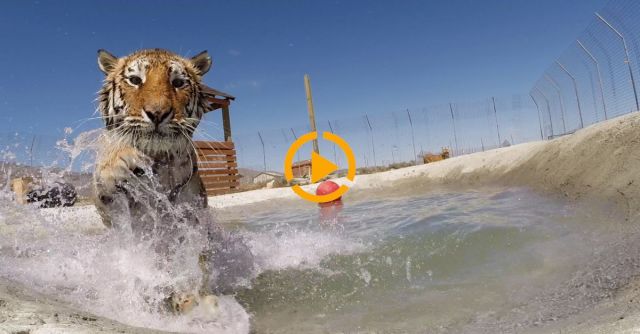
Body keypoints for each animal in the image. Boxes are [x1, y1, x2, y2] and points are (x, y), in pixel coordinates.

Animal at [92, 49, 222, 316]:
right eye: (135, 80)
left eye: (178, 82)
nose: (157, 113)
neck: (158, 161)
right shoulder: (113, 210)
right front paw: (118, 160)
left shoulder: (192, 213)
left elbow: (193, 258)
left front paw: (193, 300)